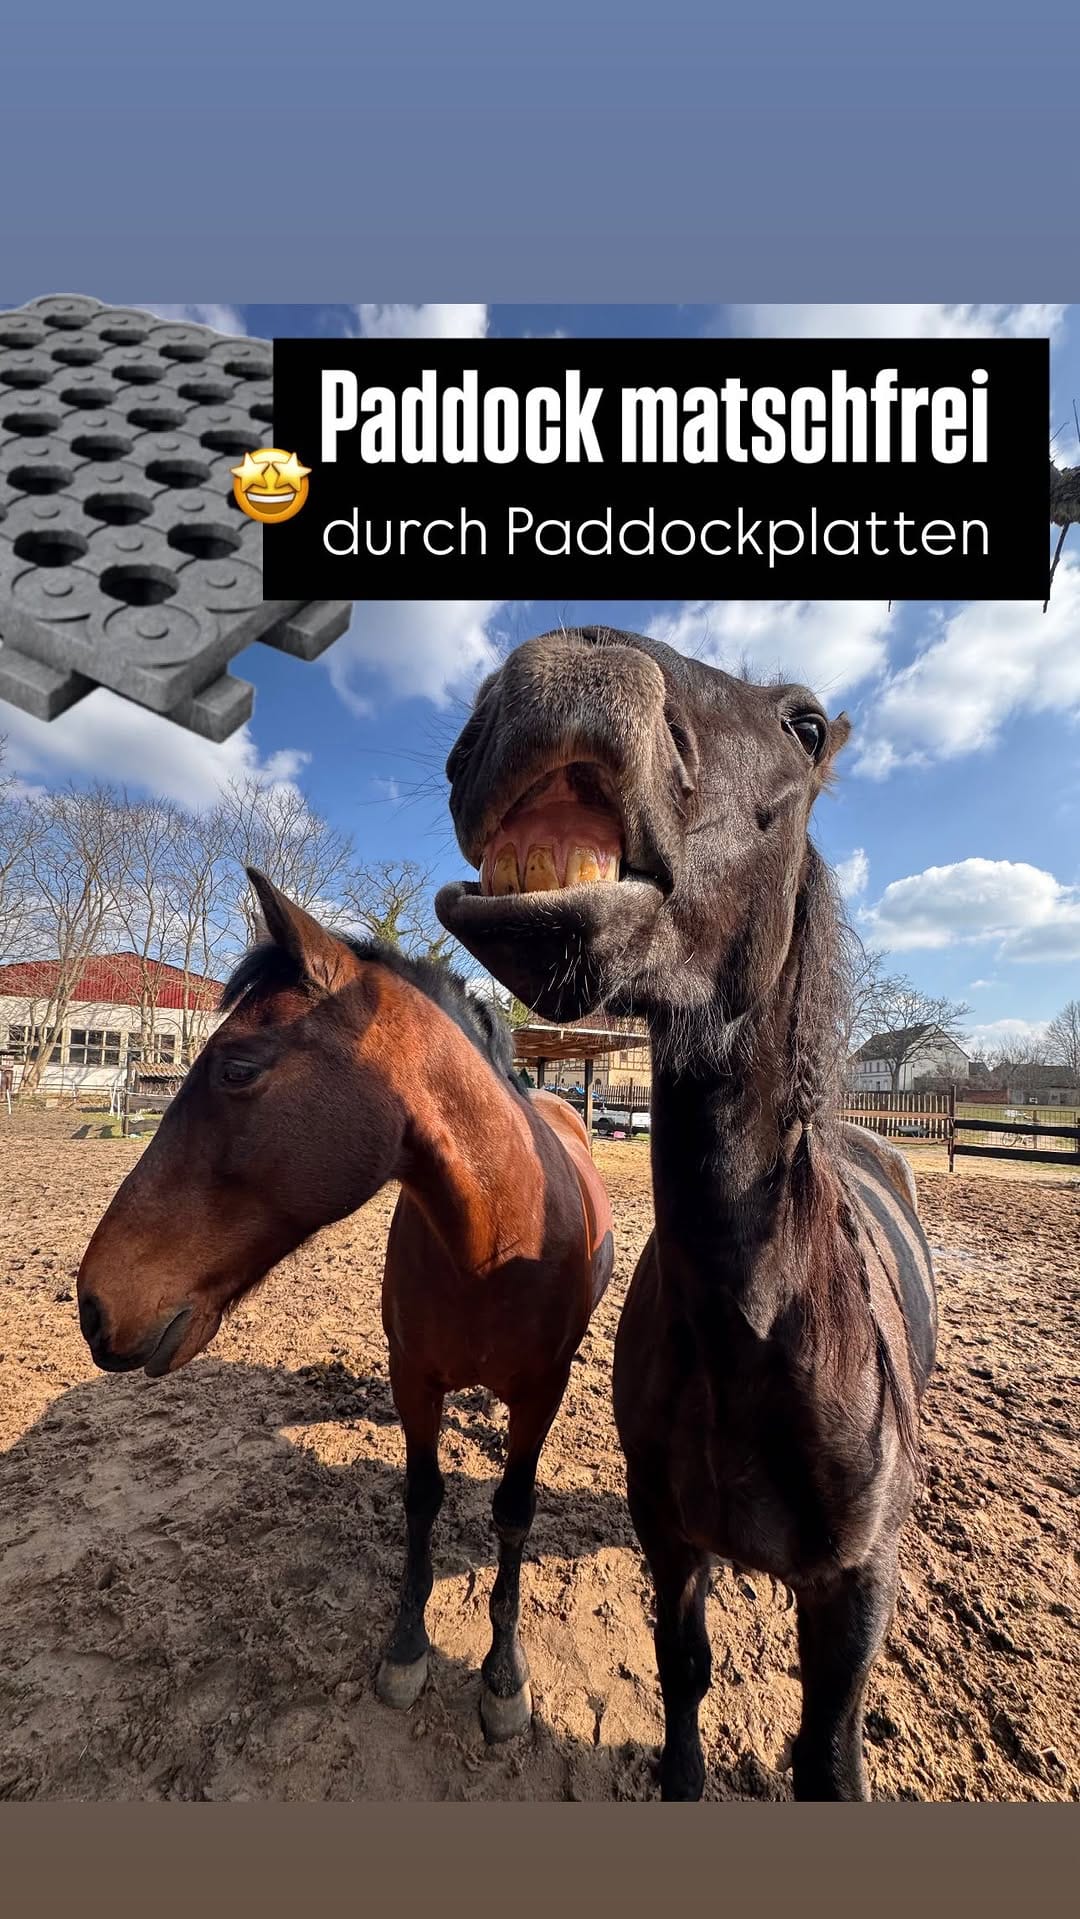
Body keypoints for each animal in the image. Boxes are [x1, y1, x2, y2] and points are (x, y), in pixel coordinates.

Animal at [76, 869, 614, 1741]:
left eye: (237, 1067)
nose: (93, 1303)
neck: (495, 1242)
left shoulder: (543, 1390)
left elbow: (512, 1510)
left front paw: (503, 1677)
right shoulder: (413, 1380)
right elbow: (423, 1499)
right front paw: (406, 1647)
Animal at [436, 625, 938, 1799]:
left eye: (808, 725)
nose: (557, 669)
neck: (756, 1337)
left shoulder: (856, 1589)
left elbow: (826, 1756)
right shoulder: (669, 1539)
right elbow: (684, 1678)